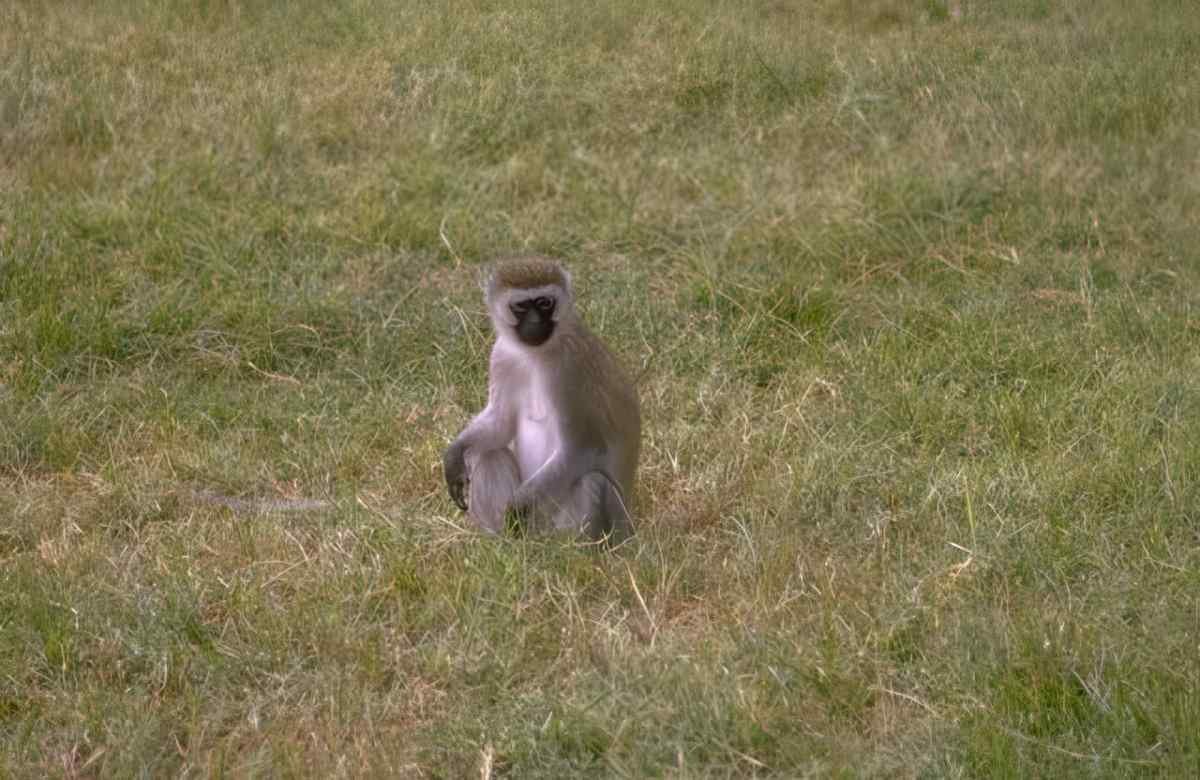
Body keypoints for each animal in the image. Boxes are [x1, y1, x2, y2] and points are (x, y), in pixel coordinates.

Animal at [442, 256, 641, 544]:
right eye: (522, 306)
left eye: (545, 303)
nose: (536, 322)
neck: (535, 353)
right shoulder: (501, 355)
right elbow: (501, 424)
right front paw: (454, 453)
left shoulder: (570, 369)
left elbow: (580, 448)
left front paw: (518, 503)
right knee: (490, 454)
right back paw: (501, 543)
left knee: (592, 480)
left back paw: (567, 549)